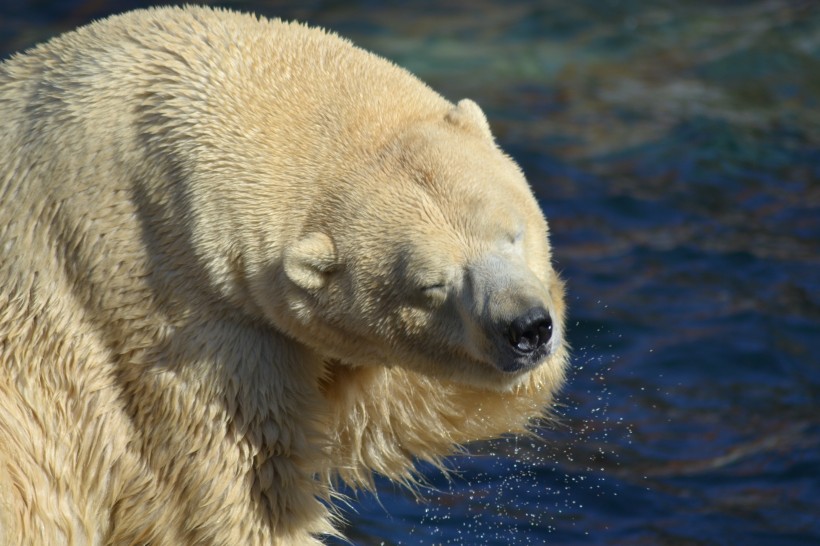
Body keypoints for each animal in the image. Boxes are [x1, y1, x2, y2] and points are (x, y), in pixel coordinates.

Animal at [0, 5, 564, 544]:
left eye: (512, 233)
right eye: (432, 286)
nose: (527, 327)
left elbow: (383, 405)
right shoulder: (170, 309)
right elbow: (243, 487)